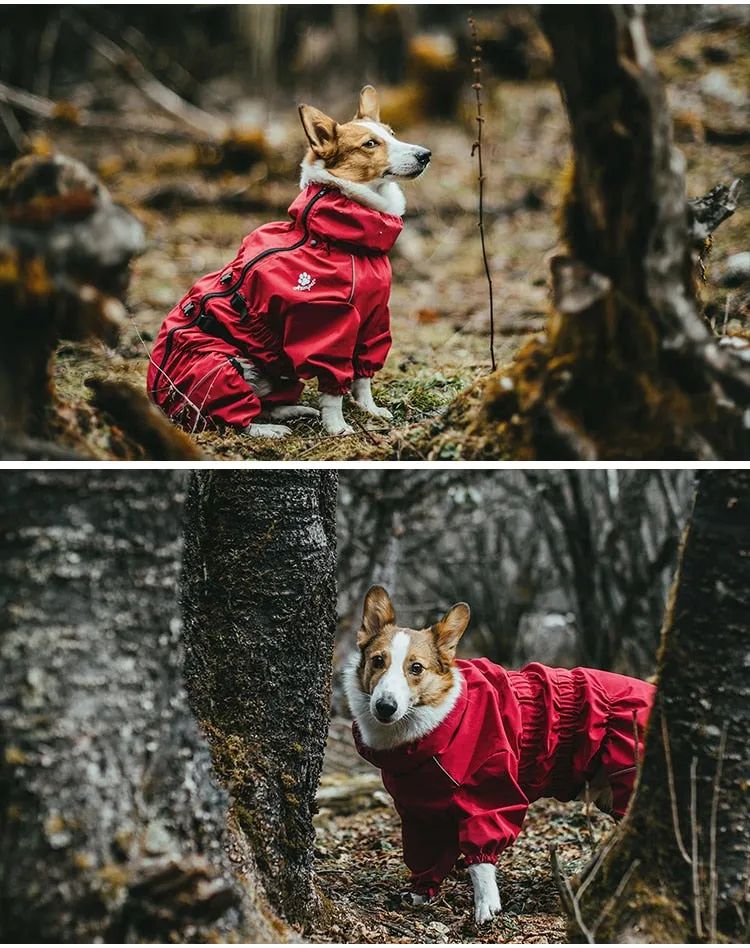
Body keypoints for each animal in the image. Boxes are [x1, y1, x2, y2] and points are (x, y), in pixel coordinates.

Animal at [148, 85, 428, 436]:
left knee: (266, 403)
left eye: (392, 134)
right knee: (228, 418)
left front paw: (370, 409)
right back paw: (266, 429)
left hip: (275, 372)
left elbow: (363, 377)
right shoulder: (326, 324)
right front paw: (336, 426)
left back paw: (295, 410)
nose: (425, 154)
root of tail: (157, 398)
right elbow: (333, 387)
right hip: (219, 362)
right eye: (370, 144)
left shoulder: (373, 319)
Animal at [344, 584, 656, 924]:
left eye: (416, 668)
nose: (384, 707)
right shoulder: (421, 812)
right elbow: (425, 855)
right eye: (378, 661)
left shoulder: (489, 795)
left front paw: (486, 906)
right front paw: (419, 893)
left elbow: (480, 861)